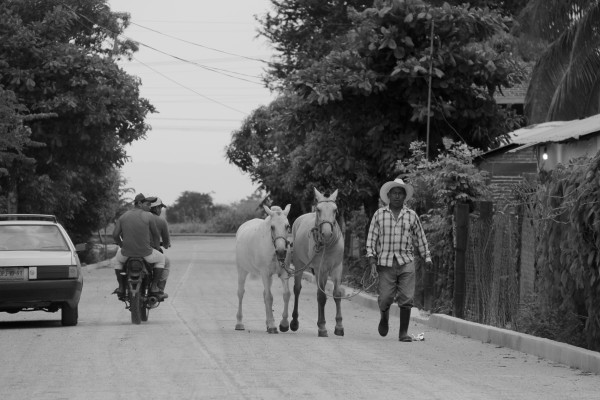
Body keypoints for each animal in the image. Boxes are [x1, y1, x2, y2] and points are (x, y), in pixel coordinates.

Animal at [288, 188, 344, 338]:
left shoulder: (337, 268)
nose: (327, 233)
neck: (328, 245)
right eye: (318, 209)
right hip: (300, 265)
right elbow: (322, 297)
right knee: (298, 289)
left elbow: (336, 294)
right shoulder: (320, 269)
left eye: (335, 210)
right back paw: (294, 322)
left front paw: (339, 326)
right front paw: (323, 327)